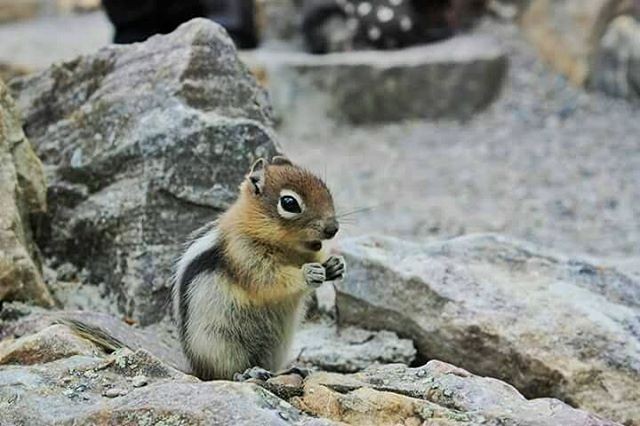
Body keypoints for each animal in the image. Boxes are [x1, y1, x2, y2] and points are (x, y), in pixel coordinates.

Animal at [172, 156, 344, 380]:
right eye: (289, 203)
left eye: (325, 188)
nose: (333, 229)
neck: (287, 247)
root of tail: (197, 369)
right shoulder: (243, 255)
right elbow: (267, 279)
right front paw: (308, 273)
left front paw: (334, 265)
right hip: (220, 343)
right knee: (227, 372)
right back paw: (248, 373)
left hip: (277, 345)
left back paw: (289, 369)